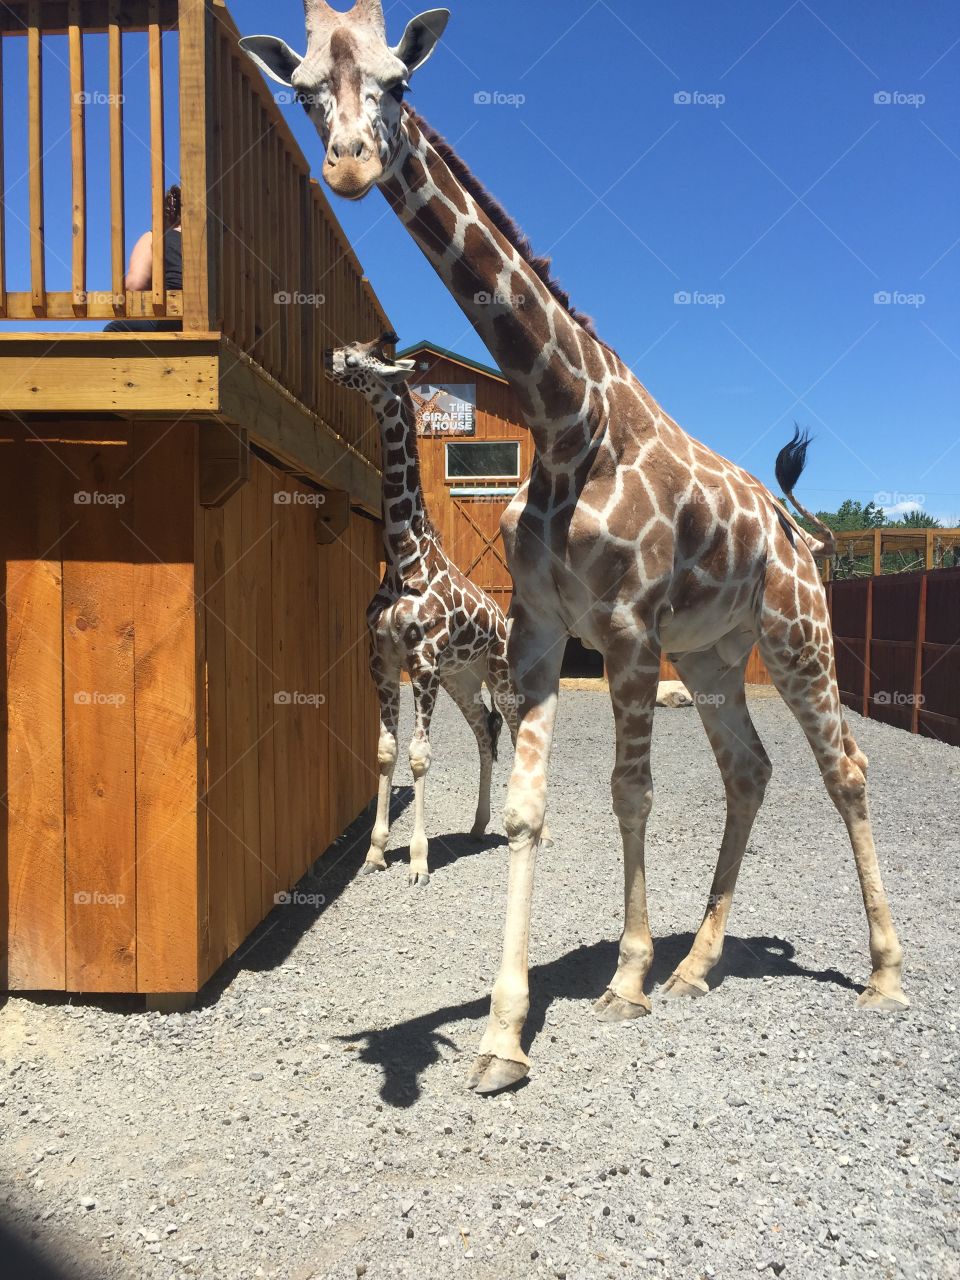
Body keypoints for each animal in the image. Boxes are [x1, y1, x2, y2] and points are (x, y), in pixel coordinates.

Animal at [324, 333, 519, 885]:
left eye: (363, 358)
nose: (328, 358)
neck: (404, 558)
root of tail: (503, 619)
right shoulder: (383, 661)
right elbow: (386, 752)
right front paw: (374, 853)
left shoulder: (423, 662)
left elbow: (418, 757)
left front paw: (417, 861)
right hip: (462, 678)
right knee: (486, 729)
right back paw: (478, 825)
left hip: (498, 672)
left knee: (520, 731)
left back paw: (531, 825)